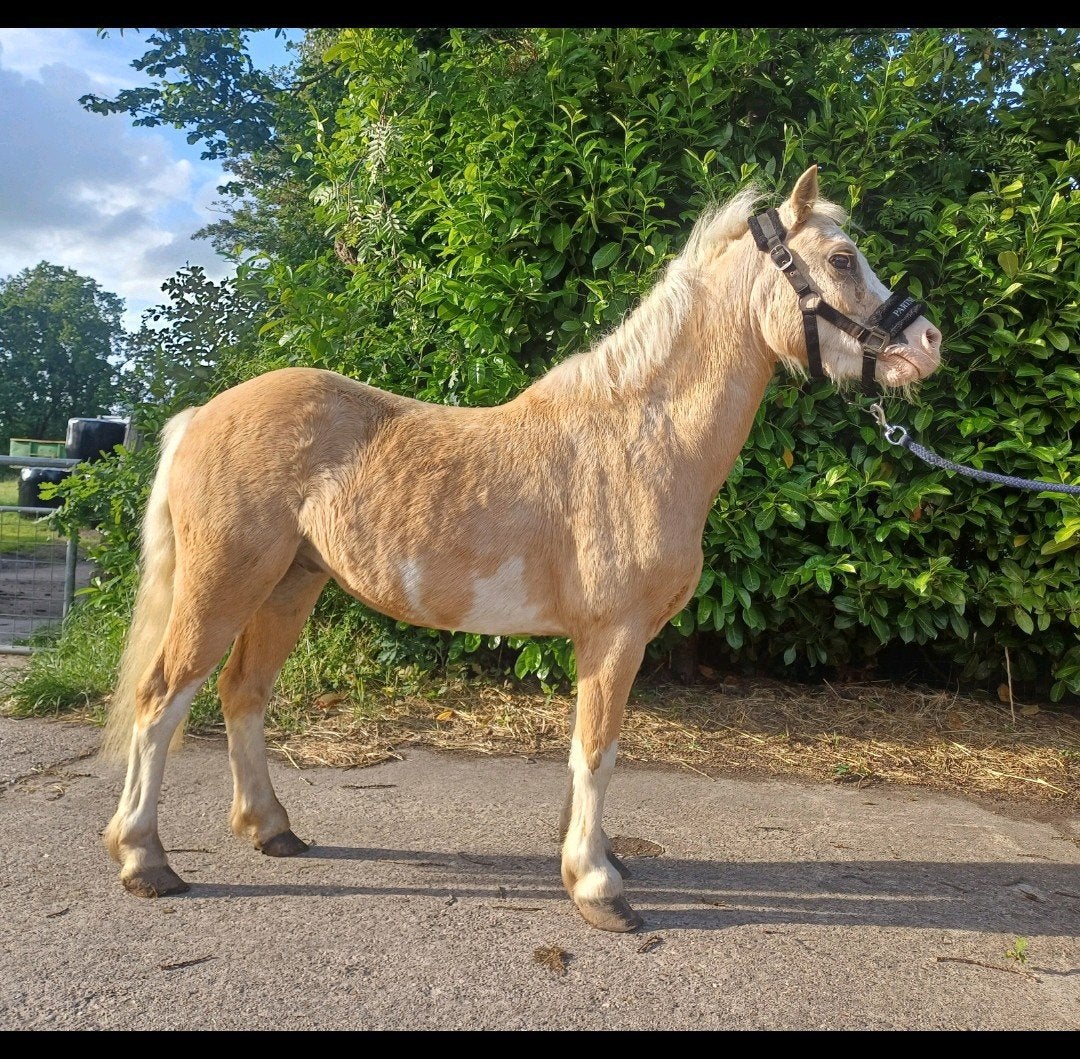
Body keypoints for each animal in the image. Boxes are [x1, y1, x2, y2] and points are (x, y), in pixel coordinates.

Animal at [99, 164, 942, 932]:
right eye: (841, 259)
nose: (928, 342)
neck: (641, 439)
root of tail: (203, 414)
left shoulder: (599, 641)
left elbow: (583, 749)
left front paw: (586, 856)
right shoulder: (616, 635)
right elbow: (599, 749)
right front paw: (598, 888)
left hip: (289, 586)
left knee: (243, 692)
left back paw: (271, 829)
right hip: (223, 585)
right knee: (162, 698)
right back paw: (144, 859)